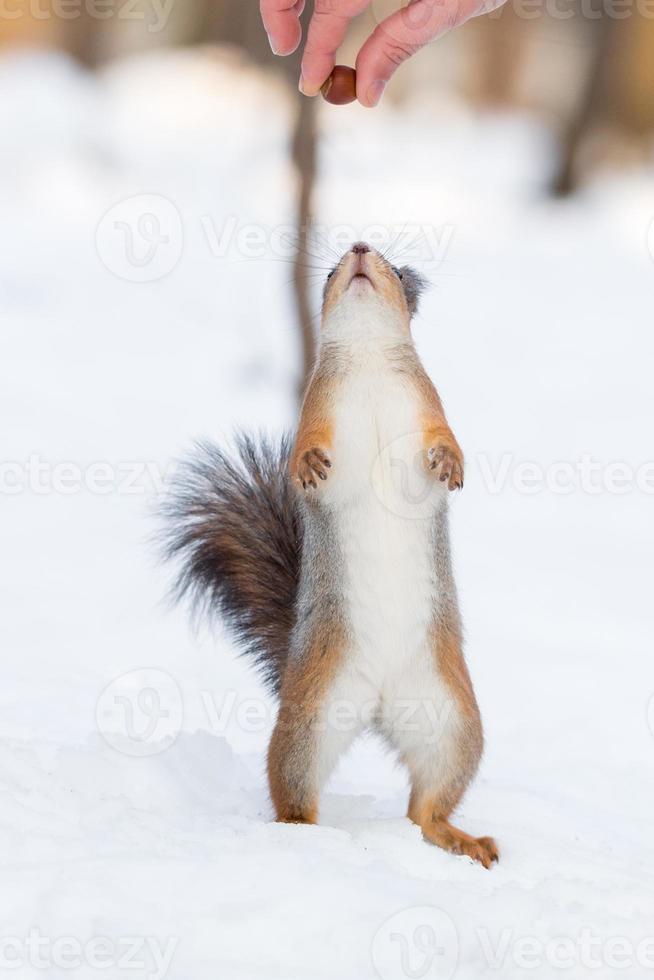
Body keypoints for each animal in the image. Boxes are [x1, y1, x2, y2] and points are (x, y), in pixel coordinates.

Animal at [167, 243, 500, 864]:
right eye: (328, 272)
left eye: (394, 268)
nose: (361, 249)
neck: (367, 360)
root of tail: (378, 706)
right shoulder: (315, 409)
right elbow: (306, 445)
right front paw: (307, 466)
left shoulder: (429, 405)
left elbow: (446, 436)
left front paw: (451, 463)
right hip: (309, 720)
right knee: (294, 788)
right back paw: (302, 833)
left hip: (452, 723)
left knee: (425, 807)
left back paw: (458, 838)